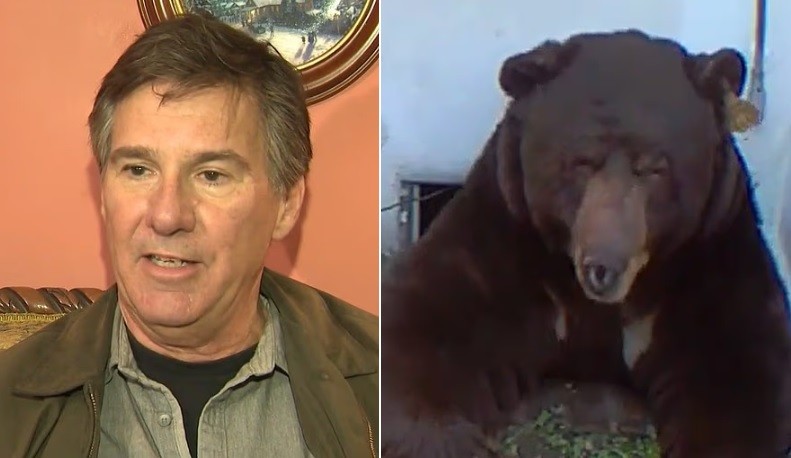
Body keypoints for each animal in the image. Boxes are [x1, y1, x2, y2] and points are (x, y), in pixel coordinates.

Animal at [381, 29, 791, 458]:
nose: (603, 268)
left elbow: (738, 374)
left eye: (655, 168)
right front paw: (447, 437)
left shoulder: (710, 253)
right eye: (581, 162)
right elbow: (423, 319)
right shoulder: (505, 234)